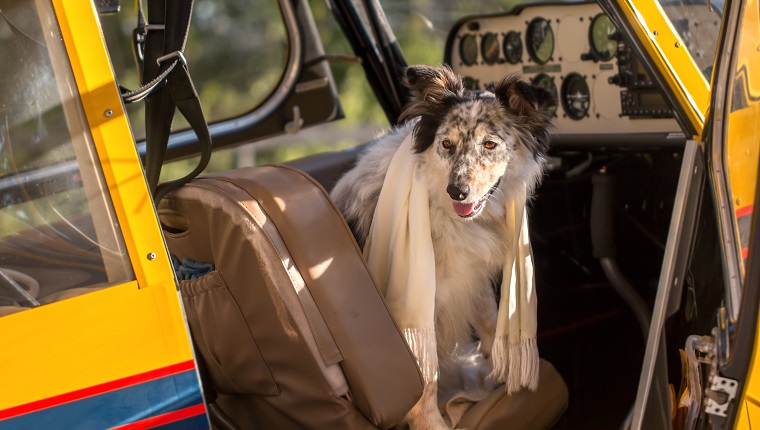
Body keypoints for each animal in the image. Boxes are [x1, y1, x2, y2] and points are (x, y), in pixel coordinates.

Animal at [330, 64, 556, 430]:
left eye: (490, 144)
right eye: (446, 144)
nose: (457, 191)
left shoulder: (472, 275)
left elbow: (490, 322)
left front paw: (500, 374)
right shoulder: (418, 307)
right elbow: (425, 375)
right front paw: (433, 424)